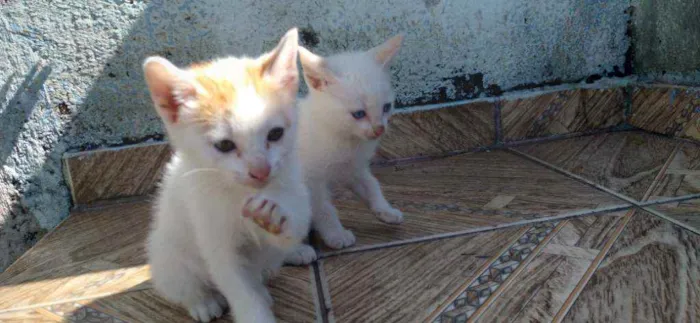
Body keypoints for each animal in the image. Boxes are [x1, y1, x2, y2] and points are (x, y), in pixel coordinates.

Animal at [144, 29, 310, 322]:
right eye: (224, 145)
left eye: (275, 133)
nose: (260, 171)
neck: (240, 194)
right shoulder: (215, 241)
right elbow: (240, 290)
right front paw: (255, 313)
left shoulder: (294, 188)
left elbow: (294, 225)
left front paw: (273, 218)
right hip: (166, 255)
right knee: (180, 283)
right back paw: (203, 301)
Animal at [284, 34, 404, 266]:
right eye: (359, 114)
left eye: (386, 107)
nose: (379, 129)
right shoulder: (310, 181)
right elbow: (323, 208)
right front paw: (335, 234)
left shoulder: (352, 168)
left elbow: (371, 185)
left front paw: (385, 210)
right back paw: (296, 252)